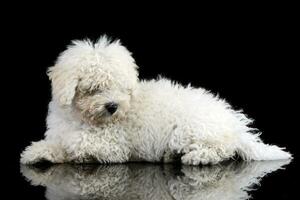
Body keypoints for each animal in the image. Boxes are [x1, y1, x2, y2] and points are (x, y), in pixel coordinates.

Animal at [20, 35, 290, 164]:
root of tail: (235, 124)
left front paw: (62, 152)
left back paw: (198, 157)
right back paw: (171, 156)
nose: (113, 106)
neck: (84, 119)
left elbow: (77, 145)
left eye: (121, 89)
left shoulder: (114, 146)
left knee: (224, 149)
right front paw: (37, 152)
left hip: (190, 129)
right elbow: (57, 143)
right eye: (95, 88)